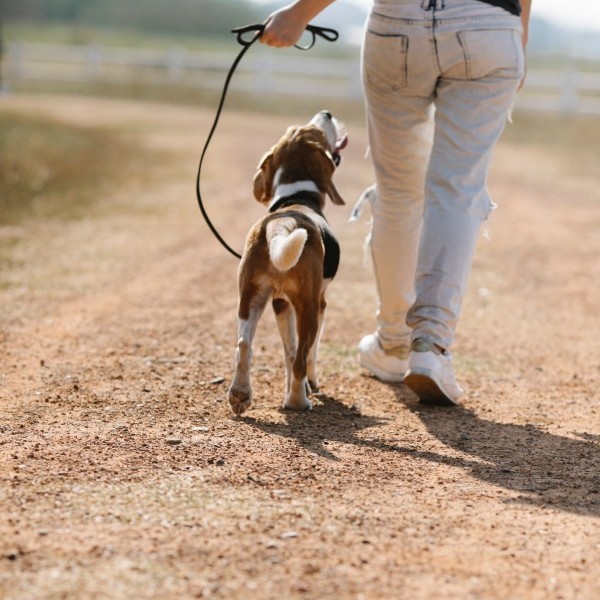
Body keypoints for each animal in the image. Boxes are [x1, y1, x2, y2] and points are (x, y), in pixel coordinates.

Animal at [226, 110, 350, 414]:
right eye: (317, 132)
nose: (326, 113)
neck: (296, 197)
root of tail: (283, 224)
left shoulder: (280, 303)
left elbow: (288, 351)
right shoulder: (319, 302)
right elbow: (306, 355)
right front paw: (310, 384)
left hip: (250, 298)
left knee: (244, 345)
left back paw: (240, 395)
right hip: (308, 307)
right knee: (302, 356)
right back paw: (297, 401)